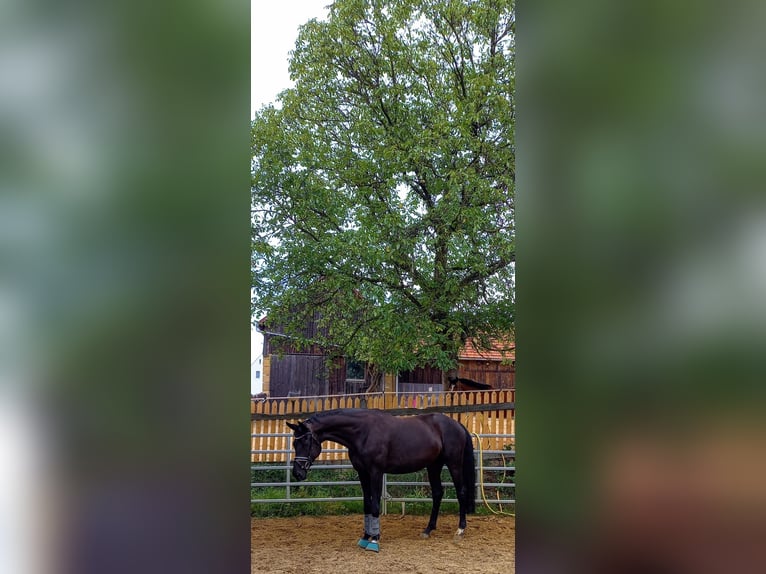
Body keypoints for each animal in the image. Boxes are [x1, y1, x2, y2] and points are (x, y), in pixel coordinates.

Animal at [286, 408, 476, 553]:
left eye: (306, 440)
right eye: (295, 443)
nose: (297, 473)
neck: (363, 432)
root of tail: (457, 425)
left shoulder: (376, 472)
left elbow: (376, 505)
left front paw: (374, 540)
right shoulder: (362, 473)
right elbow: (367, 504)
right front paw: (365, 537)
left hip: (453, 464)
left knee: (461, 492)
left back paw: (460, 530)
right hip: (433, 466)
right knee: (437, 493)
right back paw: (428, 529)